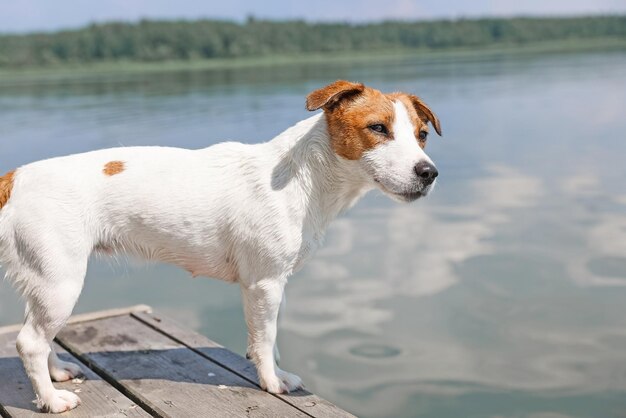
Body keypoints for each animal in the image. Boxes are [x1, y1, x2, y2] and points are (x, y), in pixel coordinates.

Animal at [0, 80, 438, 414]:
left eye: (422, 135)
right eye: (377, 128)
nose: (429, 172)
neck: (304, 176)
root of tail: (15, 177)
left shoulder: (272, 286)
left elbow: (267, 338)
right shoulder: (264, 284)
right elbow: (265, 339)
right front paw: (272, 382)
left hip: (44, 282)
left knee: (37, 334)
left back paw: (58, 373)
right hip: (61, 283)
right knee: (29, 342)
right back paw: (52, 400)